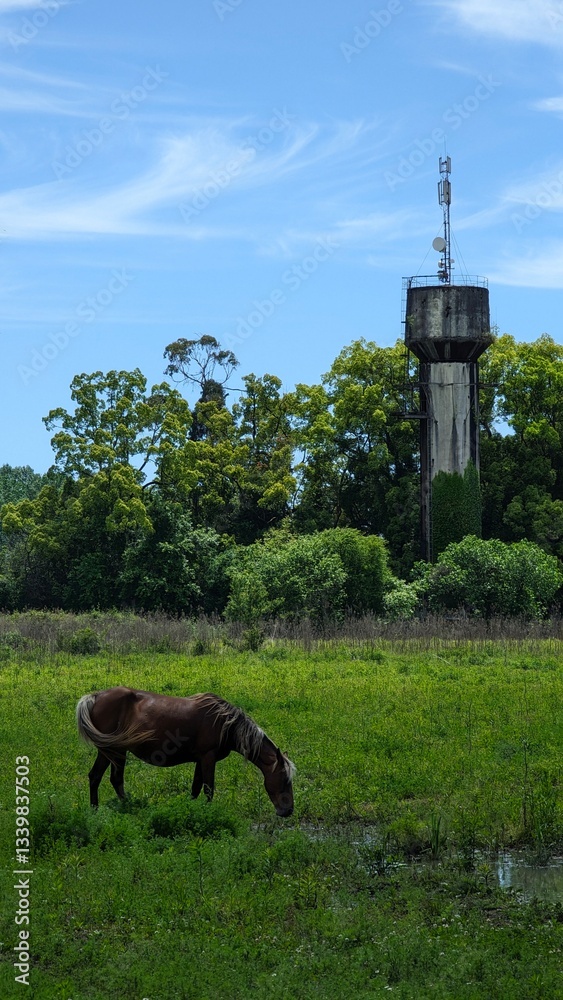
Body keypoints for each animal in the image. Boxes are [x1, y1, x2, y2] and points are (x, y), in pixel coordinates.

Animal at [76, 687, 295, 817]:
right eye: (285, 779)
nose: (288, 811)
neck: (226, 724)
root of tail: (95, 697)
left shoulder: (200, 760)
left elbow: (195, 788)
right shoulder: (208, 758)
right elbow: (208, 789)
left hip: (116, 751)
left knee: (109, 778)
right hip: (111, 750)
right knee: (101, 777)